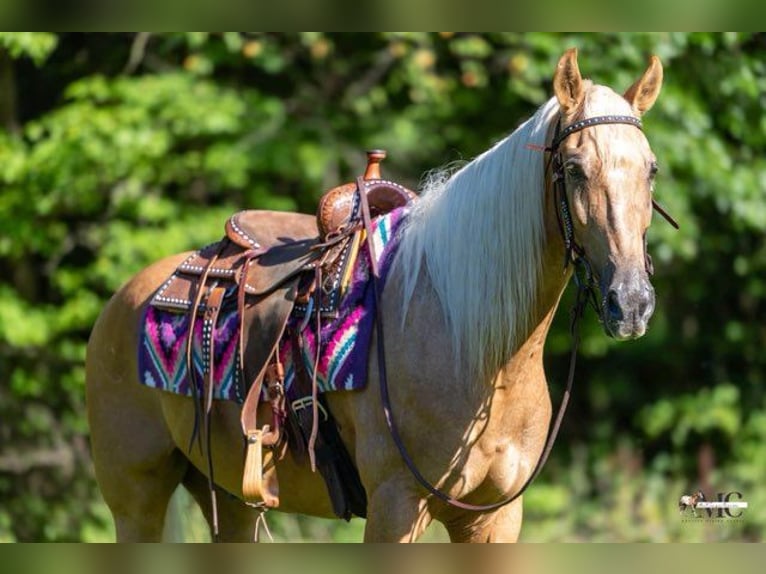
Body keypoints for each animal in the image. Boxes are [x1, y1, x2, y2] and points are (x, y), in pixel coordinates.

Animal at [86, 48, 666, 542]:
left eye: (651, 169)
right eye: (573, 168)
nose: (631, 303)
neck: (475, 348)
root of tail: (127, 297)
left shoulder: (494, 517)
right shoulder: (396, 505)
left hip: (230, 500)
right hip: (136, 501)